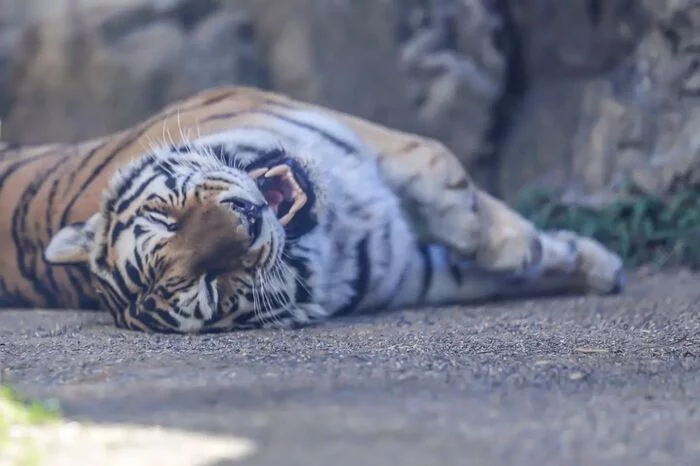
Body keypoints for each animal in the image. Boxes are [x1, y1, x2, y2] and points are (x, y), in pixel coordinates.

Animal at [0, 85, 624, 334]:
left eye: (168, 219)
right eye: (210, 284)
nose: (249, 221)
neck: (331, 228)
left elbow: (434, 160)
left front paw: (551, 251)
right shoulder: (411, 273)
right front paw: (541, 252)